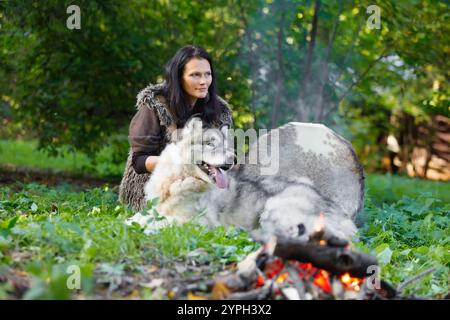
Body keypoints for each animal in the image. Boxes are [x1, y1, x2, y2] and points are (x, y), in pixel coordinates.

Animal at [125, 117, 364, 240]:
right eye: (210, 143)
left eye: (226, 146)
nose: (233, 159)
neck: (178, 182)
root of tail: (347, 219)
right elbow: (137, 218)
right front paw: (129, 223)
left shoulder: (196, 222)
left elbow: (167, 223)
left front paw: (150, 228)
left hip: (274, 210)